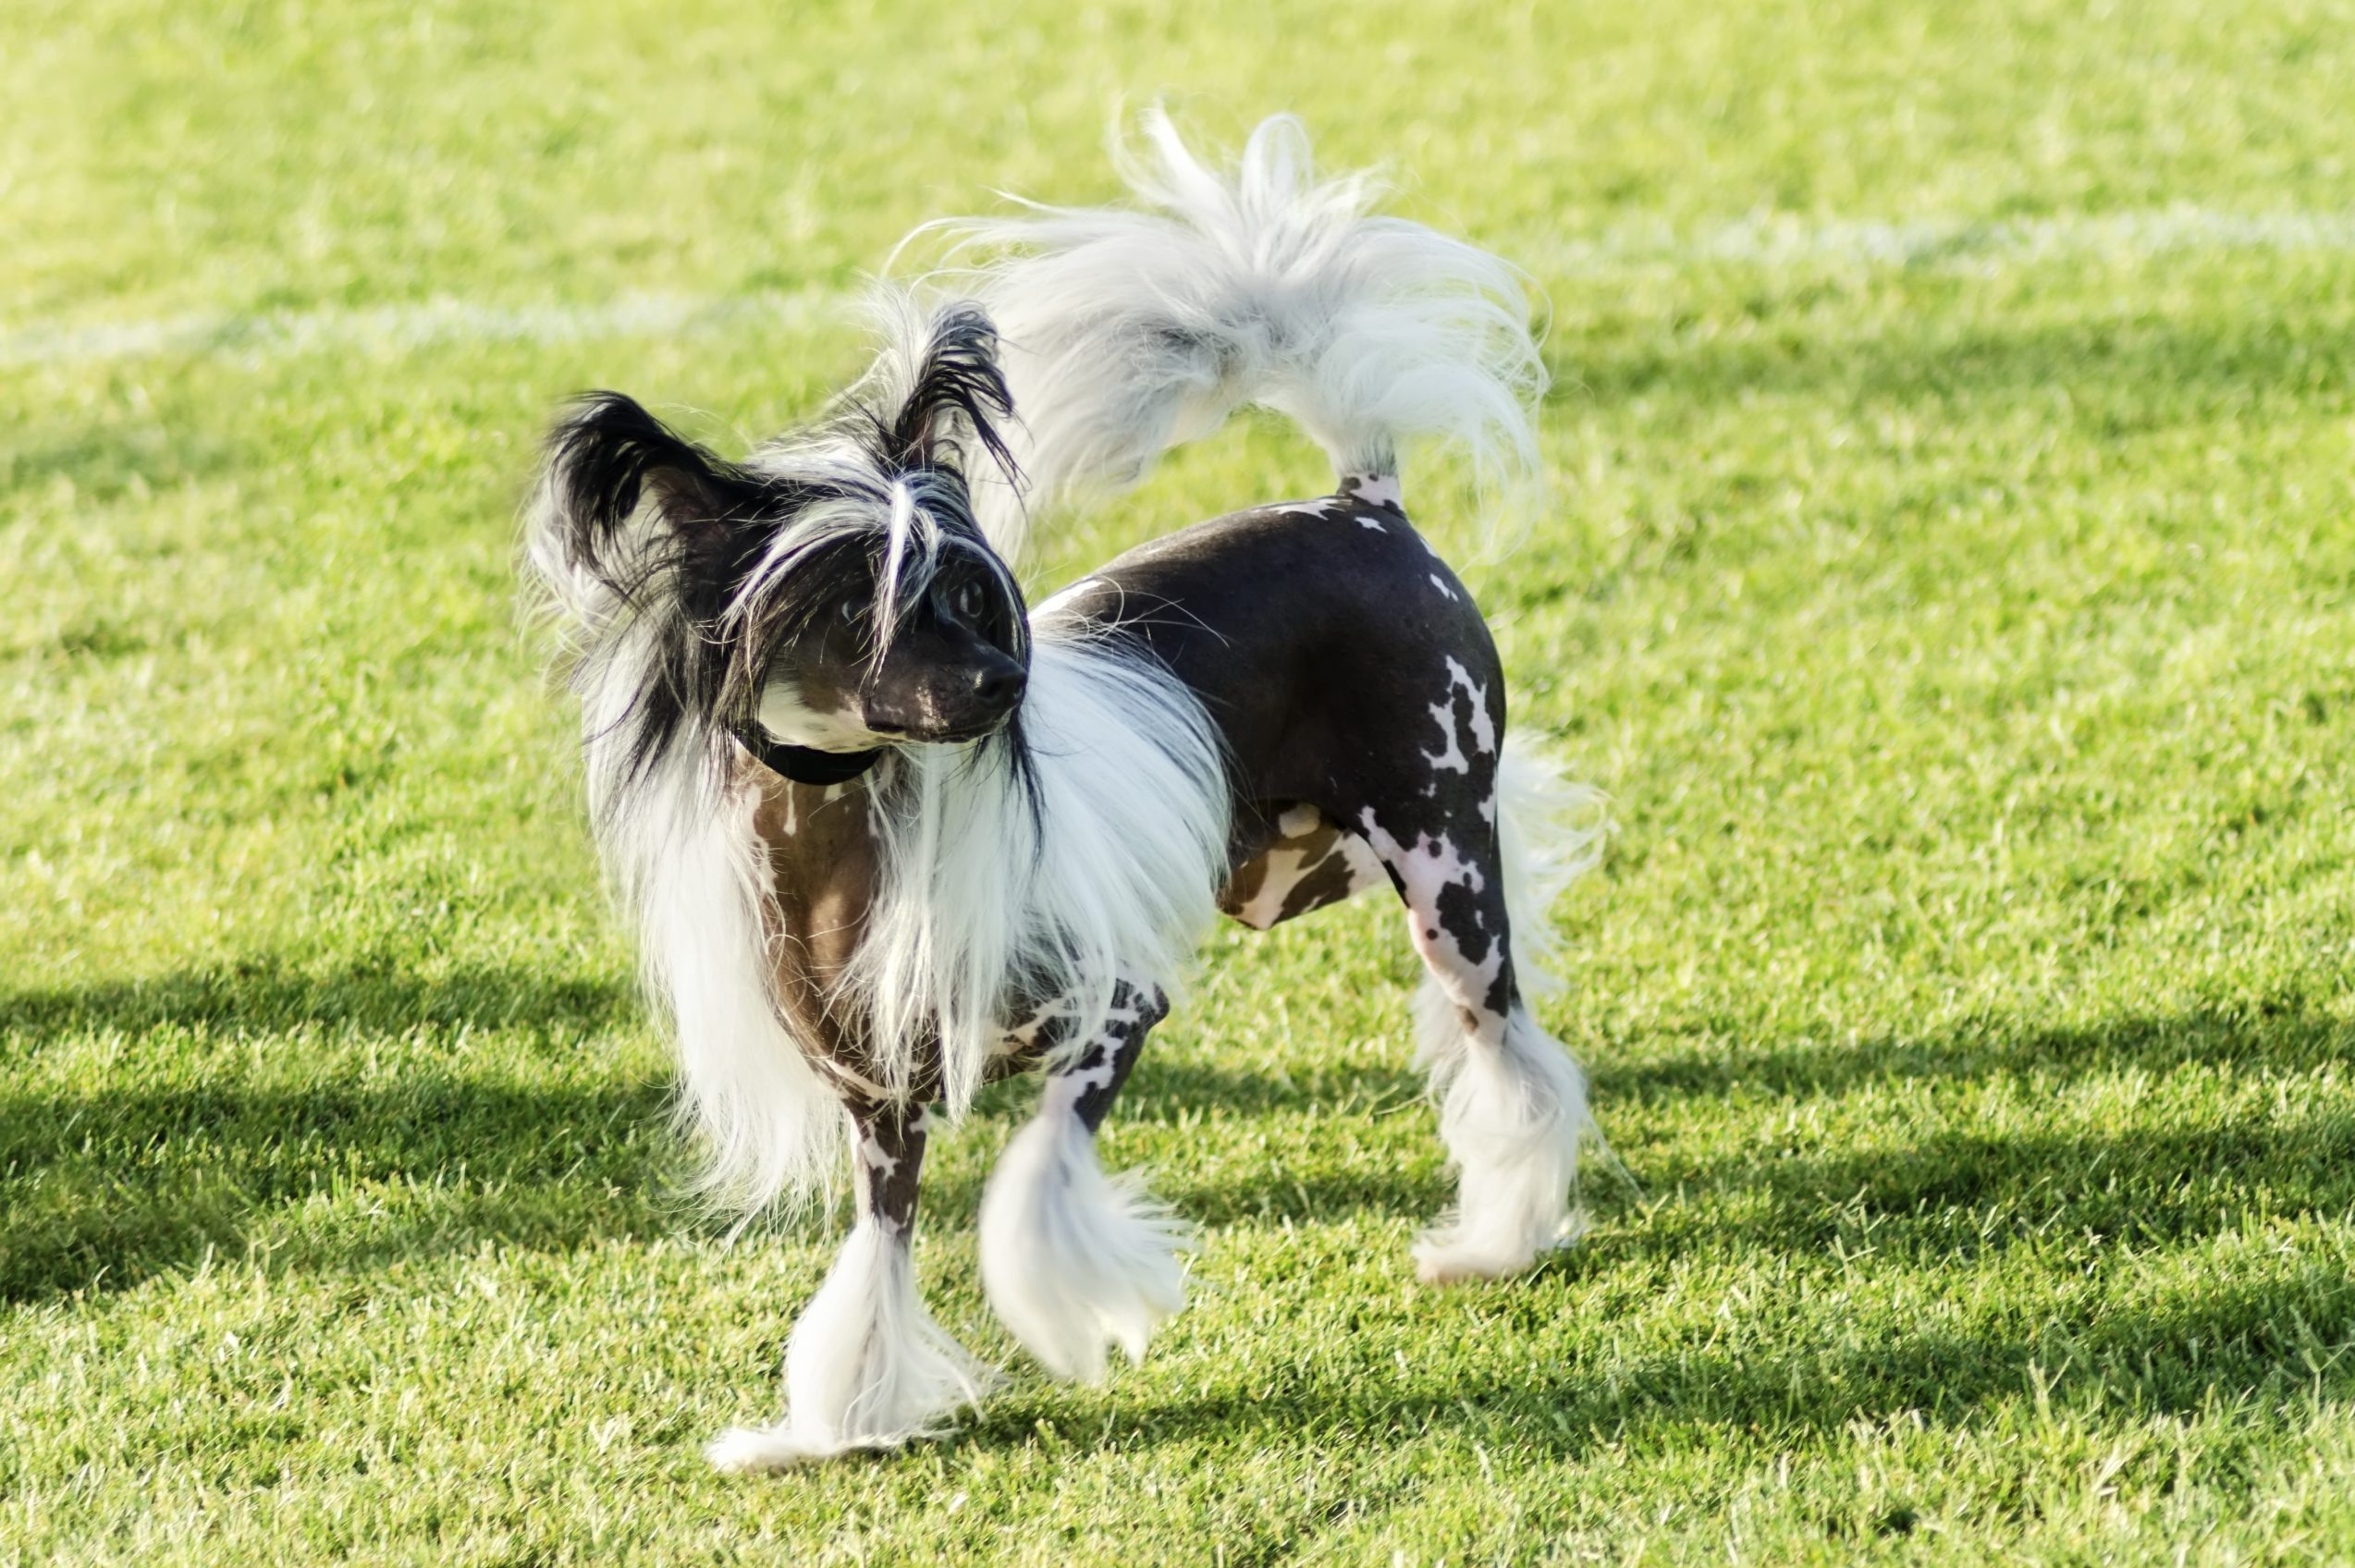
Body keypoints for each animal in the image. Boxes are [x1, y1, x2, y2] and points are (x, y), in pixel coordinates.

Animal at [527, 113, 1611, 1469]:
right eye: (855, 608)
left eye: (963, 590)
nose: (1002, 680)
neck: (843, 849)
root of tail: (1359, 508)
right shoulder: (878, 1105)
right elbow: (876, 1257)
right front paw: (841, 1423)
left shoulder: (1114, 1009)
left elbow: (1030, 1182)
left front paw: (1062, 1314)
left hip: (1443, 861)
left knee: (1505, 1043)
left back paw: (1499, 1241)